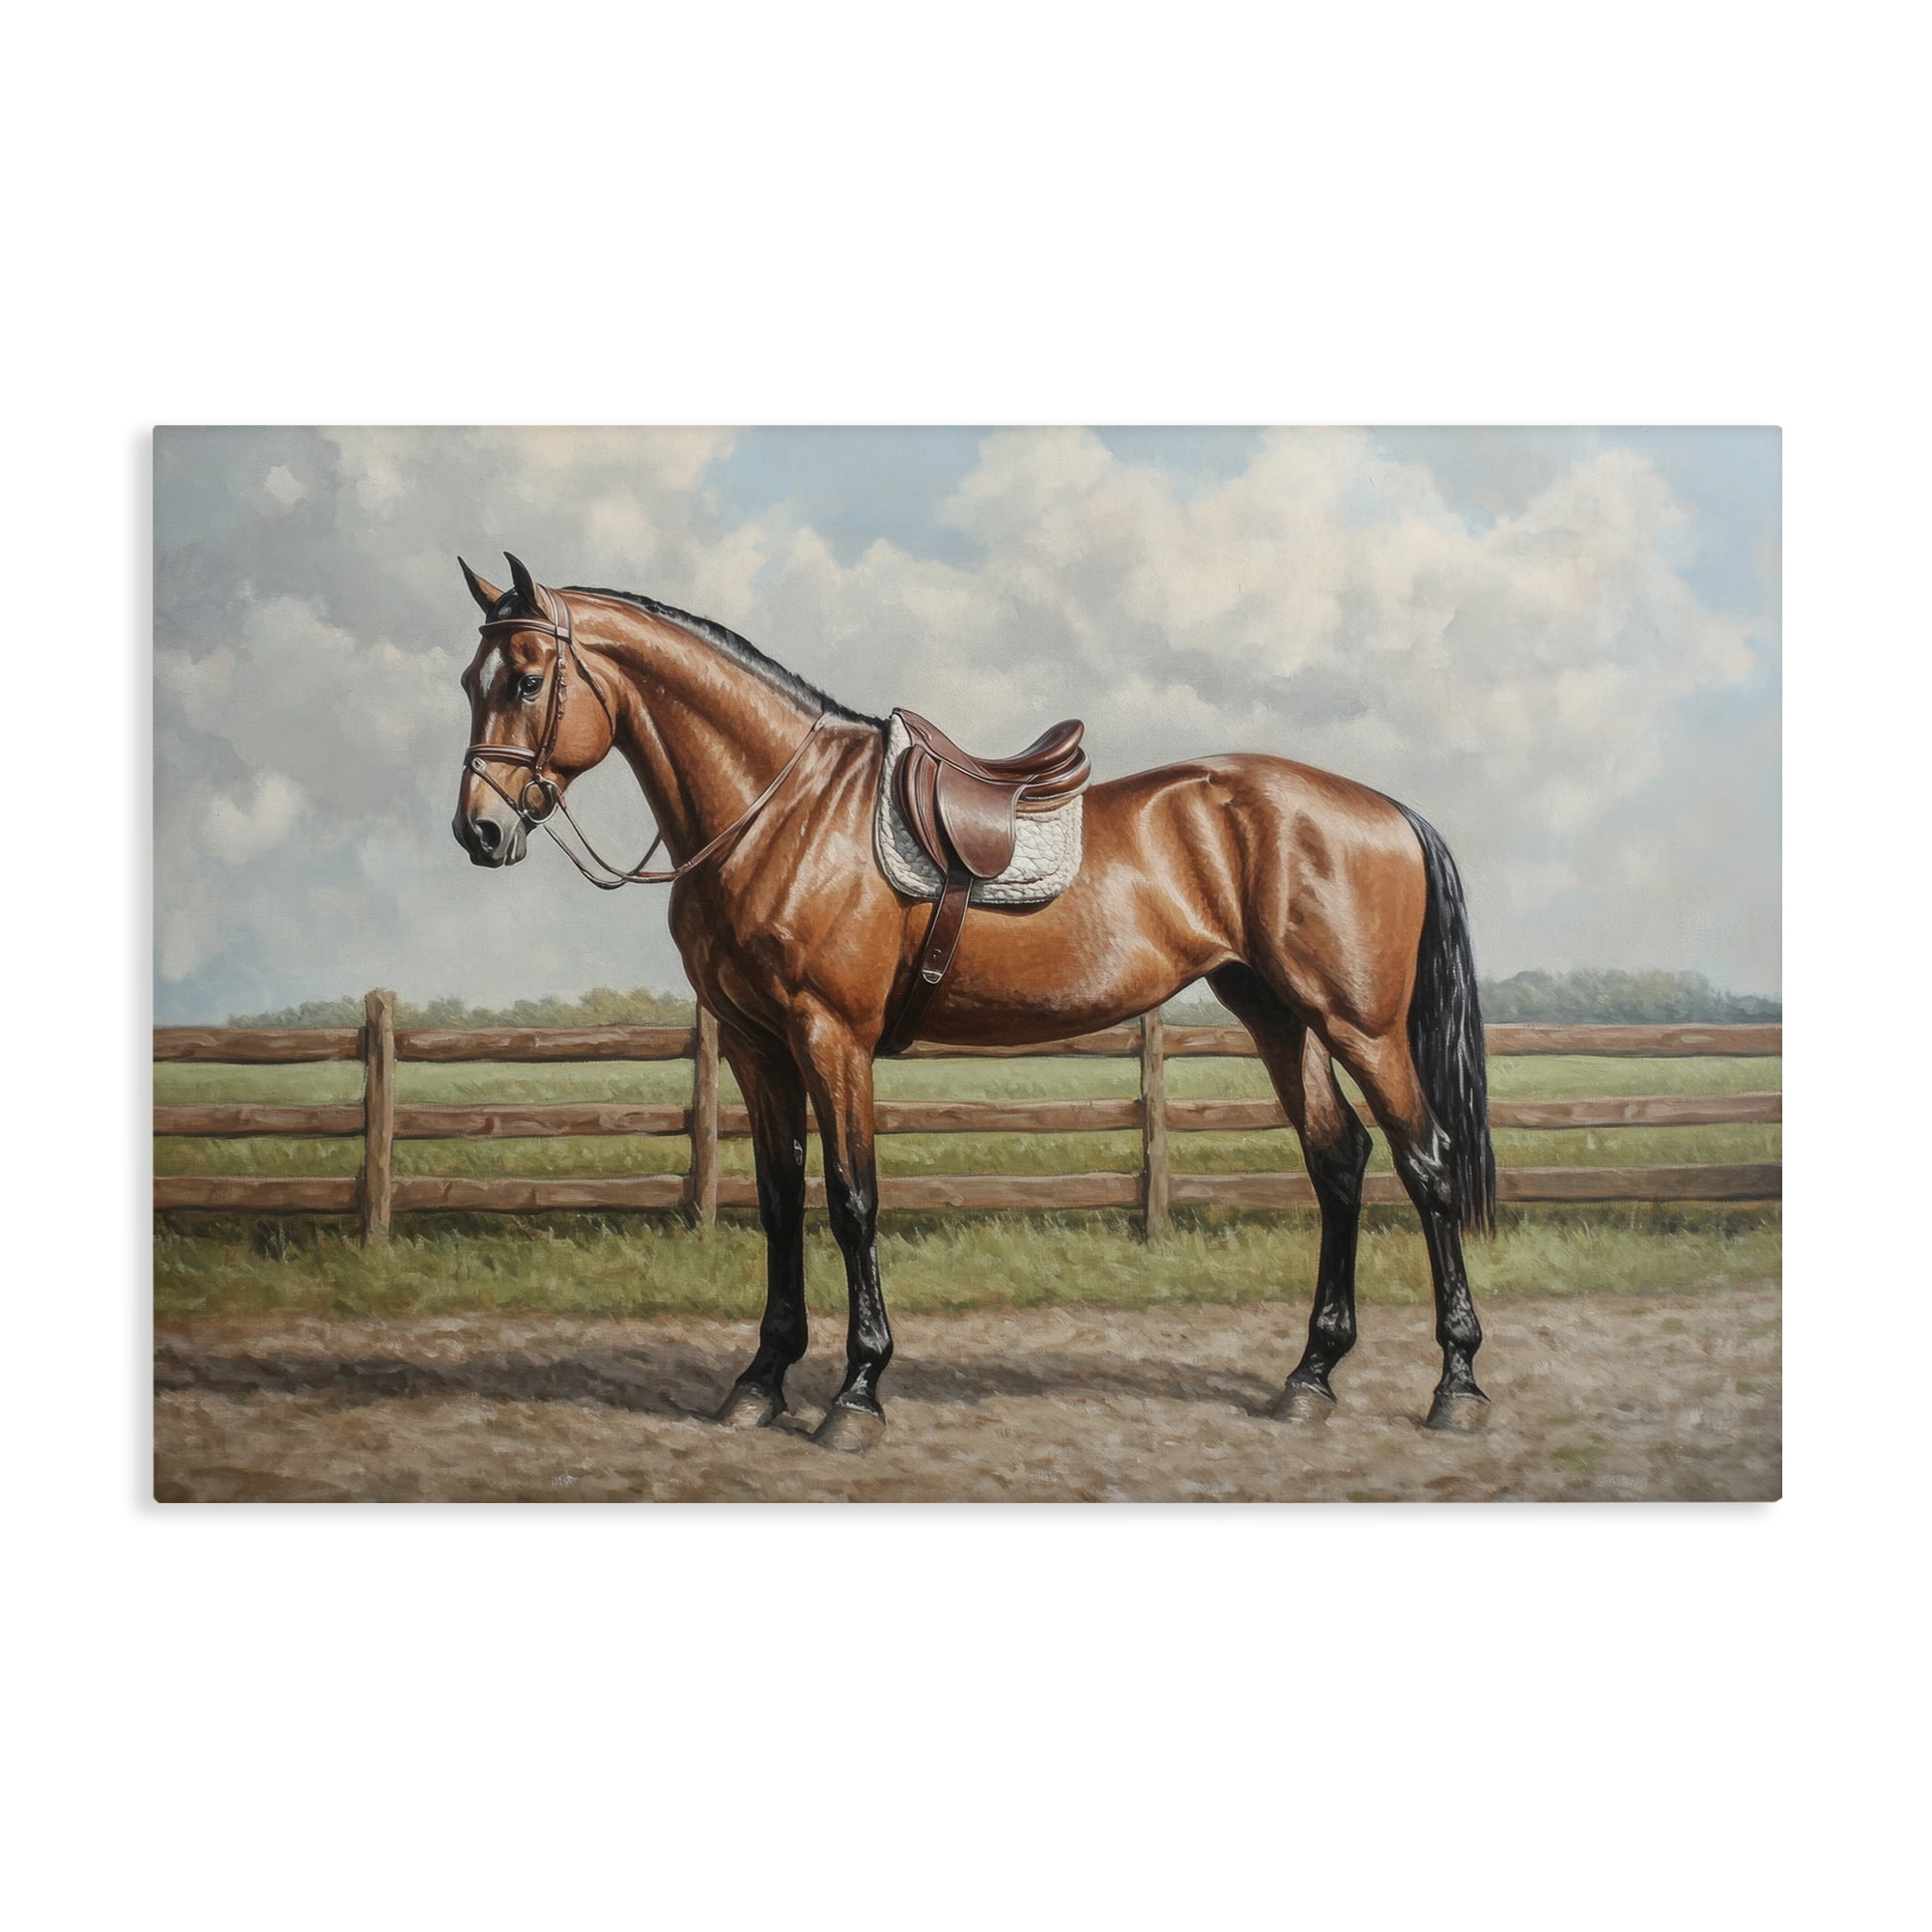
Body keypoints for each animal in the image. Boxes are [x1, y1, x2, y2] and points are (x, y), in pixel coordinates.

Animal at [452, 554, 1497, 1450]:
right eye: (471, 679)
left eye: (530, 679)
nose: (479, 831)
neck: (779, 811)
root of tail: (1386, 811)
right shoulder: (755, 1045)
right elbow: (781, 1200)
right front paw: (760, 1379)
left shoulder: (830, 1036)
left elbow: (851, 1200)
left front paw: (856, 1392)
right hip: (1280, 1017)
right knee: (1338, 1161)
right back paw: (1309, 1377)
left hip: (1360, 1026)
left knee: (1426, 1163)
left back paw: (1457, 1386)